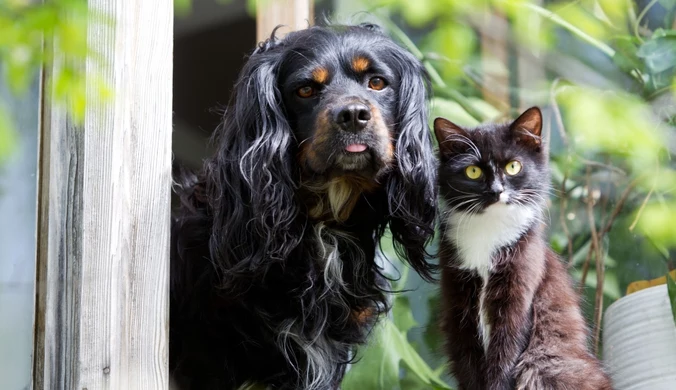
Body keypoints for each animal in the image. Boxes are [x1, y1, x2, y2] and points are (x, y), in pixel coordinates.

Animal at [434, 107, 612, 390]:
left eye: (513, 166)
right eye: (473, 172)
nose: (496, 191)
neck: (489, 232)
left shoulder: (520, 289)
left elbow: (505, 358)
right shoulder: (459, 302)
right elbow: (469, 364)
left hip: (547, 364)